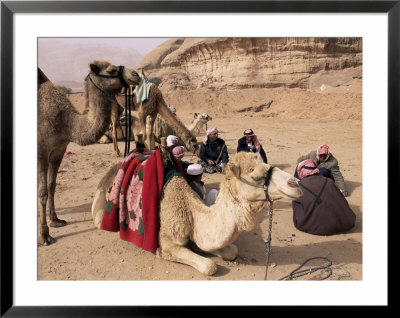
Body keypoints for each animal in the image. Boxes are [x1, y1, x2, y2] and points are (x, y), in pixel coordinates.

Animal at [37, 59, 140, 245]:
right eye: (111, 70)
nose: (135, 74)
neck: (67, 122)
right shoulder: (42, 150)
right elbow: (42, 192)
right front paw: (44, 235)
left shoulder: (59, 149)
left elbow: (51, 185)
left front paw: (55, 220)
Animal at [91, 152, 304, 276]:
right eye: (257, 176)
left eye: (268, 166)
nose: (296, 184)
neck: (192, 212)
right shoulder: (167, 242)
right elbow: (209, 266)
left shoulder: (199, 236)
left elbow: (231, 251)